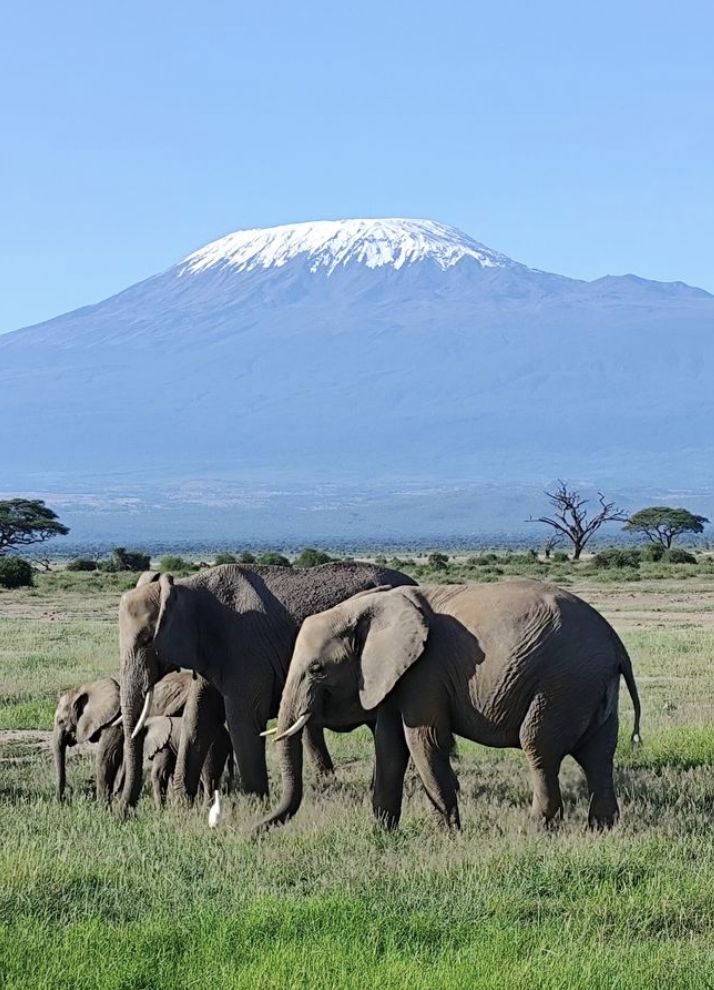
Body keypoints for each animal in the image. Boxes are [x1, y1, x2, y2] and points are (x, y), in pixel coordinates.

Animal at [117, 562, 416, 812]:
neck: (186, 589)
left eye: (146, 640)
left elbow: (242, 719)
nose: (124, 813)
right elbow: (199, 718)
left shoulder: (244, 649)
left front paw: (254, 808)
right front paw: (182, 809)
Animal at [258, 580, 642, 832]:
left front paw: (447, 833)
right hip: (589, 685)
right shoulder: (399, 675)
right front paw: (383, 832)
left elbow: (423, 741)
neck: (371, 606)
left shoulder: (425, 671)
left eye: (317, 669)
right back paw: (602, 828)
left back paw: (537, 829)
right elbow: (389, 745)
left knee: (539, 749)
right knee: (598, 755)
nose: (254, 832)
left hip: (562, 684)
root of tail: (616, 645)